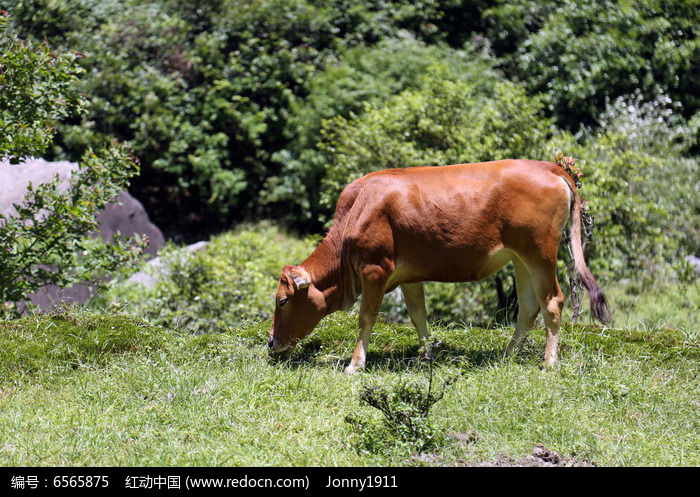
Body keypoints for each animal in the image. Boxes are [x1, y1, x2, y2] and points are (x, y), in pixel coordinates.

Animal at [270, 159, 608, 372]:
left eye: (283, 300)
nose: (272, 343)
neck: (359, 208)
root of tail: (549, 167)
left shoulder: (375, 269)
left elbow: (366, 318)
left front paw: (355, 363)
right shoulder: (408, 276)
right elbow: (418, 316)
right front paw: (426, 356)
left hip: (540, 254)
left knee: (552, 302)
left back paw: (549, 363)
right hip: (520, 258)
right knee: (528, 307)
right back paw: (507, 355)